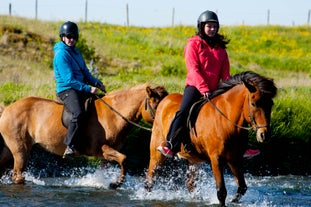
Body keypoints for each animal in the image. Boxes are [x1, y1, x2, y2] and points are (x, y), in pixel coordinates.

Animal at [0, 83, 168, 187]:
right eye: (156, 106)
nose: (164, 127)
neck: (113, 115)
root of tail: (7, 108)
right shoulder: (101, 149)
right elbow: (124, 159)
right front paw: (116, 183)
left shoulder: (105, 155)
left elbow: (111, 166)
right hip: (20, 150)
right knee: (17, 175)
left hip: (9, 150)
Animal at [145, 71, 280, 207]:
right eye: (253, 103)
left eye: (271, 104)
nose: (264, 135)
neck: (226, 122)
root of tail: (164, 101)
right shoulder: (216, 158)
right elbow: (221, 192)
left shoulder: (235, 159)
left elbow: (242, 187)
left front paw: (234, 201)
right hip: (156, 152)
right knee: (150, 180)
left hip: (193, 159)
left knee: (190, 184)